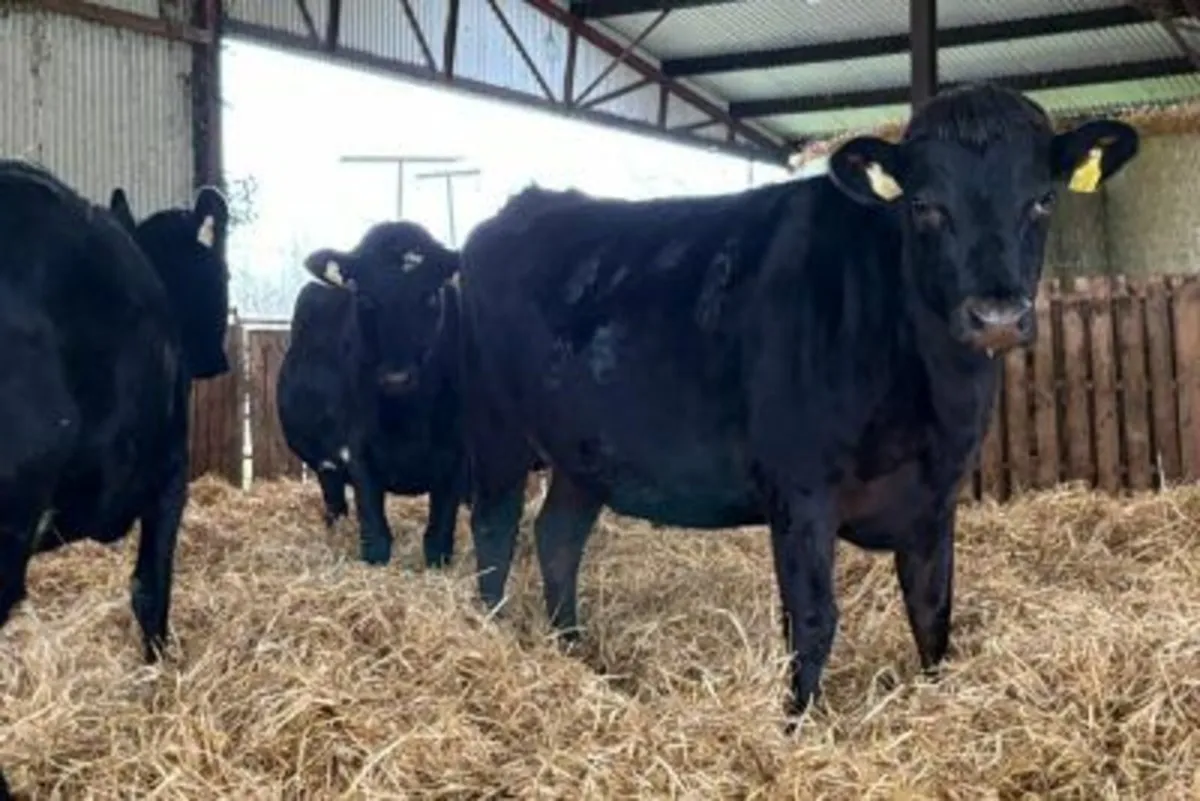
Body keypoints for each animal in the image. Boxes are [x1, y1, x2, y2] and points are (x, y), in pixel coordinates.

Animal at [278, 220, 464, 568]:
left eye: (431, 295)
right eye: (364, 298)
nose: (396, 378)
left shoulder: (458, 453)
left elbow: (438, 539)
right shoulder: (357, 451)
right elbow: (376, 539)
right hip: (325, 467)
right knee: (335, 504)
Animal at [454, 84, 1138, 725]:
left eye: (1043, 198)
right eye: (923, 205)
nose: (996, 316)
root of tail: (527, 205)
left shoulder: (936, 495)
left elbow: (933, 609)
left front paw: (938, 699)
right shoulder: (799, 490)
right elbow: (811, 619)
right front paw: (796, 725)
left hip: (584, 451)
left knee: (557, 537)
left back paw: (576, 652)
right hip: (494, 429)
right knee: (494, 529)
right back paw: (495, 635)